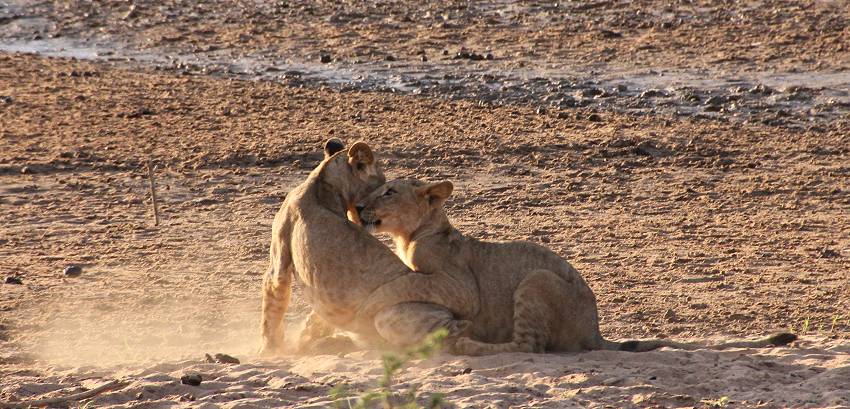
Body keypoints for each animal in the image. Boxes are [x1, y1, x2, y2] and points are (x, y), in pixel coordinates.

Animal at [258, 139, 480, 354]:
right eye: (380, 185)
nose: (362, 209)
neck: (320, 181)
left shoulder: (279, 261)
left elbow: (273, 305)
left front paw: (270, 350)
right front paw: (303, 337)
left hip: (389, 315)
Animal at [352, 178, 796, 354]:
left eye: (388, 192)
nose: (357, 206)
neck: (413, 234)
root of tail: (594, 330)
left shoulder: (458, 285)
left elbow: (405, 285)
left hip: (536, 278)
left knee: (529, 346)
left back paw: (469, 344)